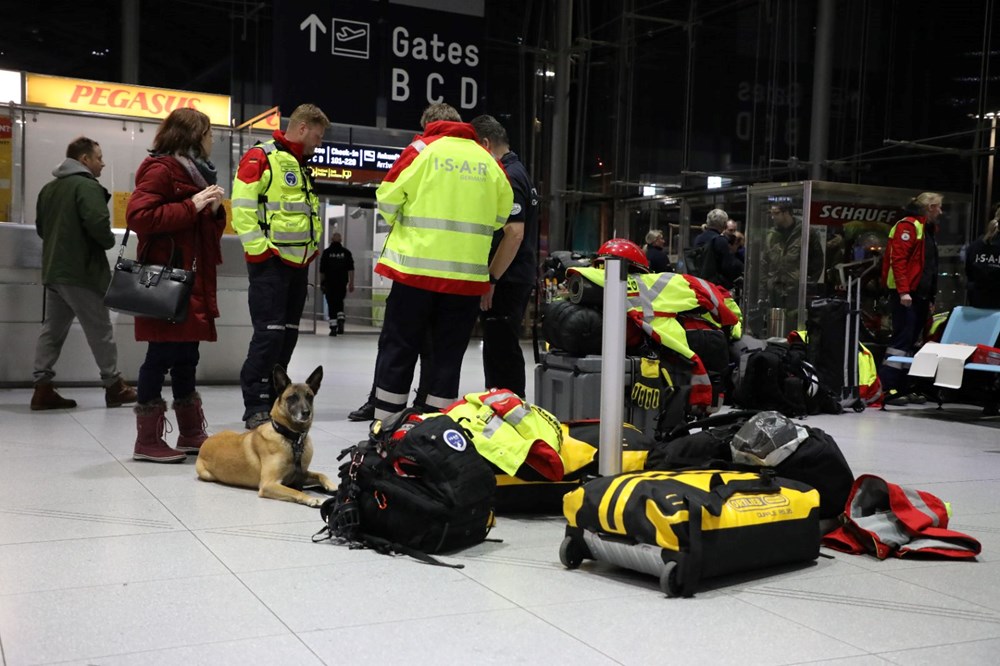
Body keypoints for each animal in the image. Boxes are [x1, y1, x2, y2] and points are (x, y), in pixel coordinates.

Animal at [194, 366, 336, 506]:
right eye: (292, 397)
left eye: (309, 397)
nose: (306, 413)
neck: (292, 439)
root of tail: (205, 442)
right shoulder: (269, 484)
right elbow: (295, 491)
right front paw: (310, 498)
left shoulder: (301, 474)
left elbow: (320, 474)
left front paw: (332, 485)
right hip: (206, 474)